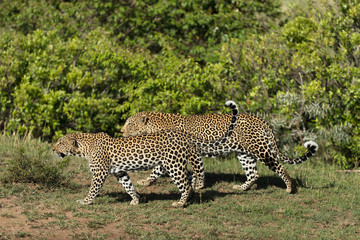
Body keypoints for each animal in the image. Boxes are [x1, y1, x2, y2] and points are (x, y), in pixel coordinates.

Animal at [52, 100, 239, 207]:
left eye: (60, 142)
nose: (53, 149)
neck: (85, 148)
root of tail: (183, 134)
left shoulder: (99, 173)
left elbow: (93, 189)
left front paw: (86, 201)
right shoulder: (119, 171)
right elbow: (128, 185)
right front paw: (136, 199)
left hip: (173, 165)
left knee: (185, 184)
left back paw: (179, 203)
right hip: (176, 163)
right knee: (189, 179)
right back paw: (189, 198)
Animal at [122, 108, 320, 194]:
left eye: (129, 124)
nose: (122, 131)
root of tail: (260, 120)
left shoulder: (191, 153)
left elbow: (198, 170)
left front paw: (199, 186)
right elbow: (157, 170)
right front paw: (147, 181)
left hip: (260, 149)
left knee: (279, 166)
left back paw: (289, 188)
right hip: (244, 153)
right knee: (253, 173)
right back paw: (241, 188)